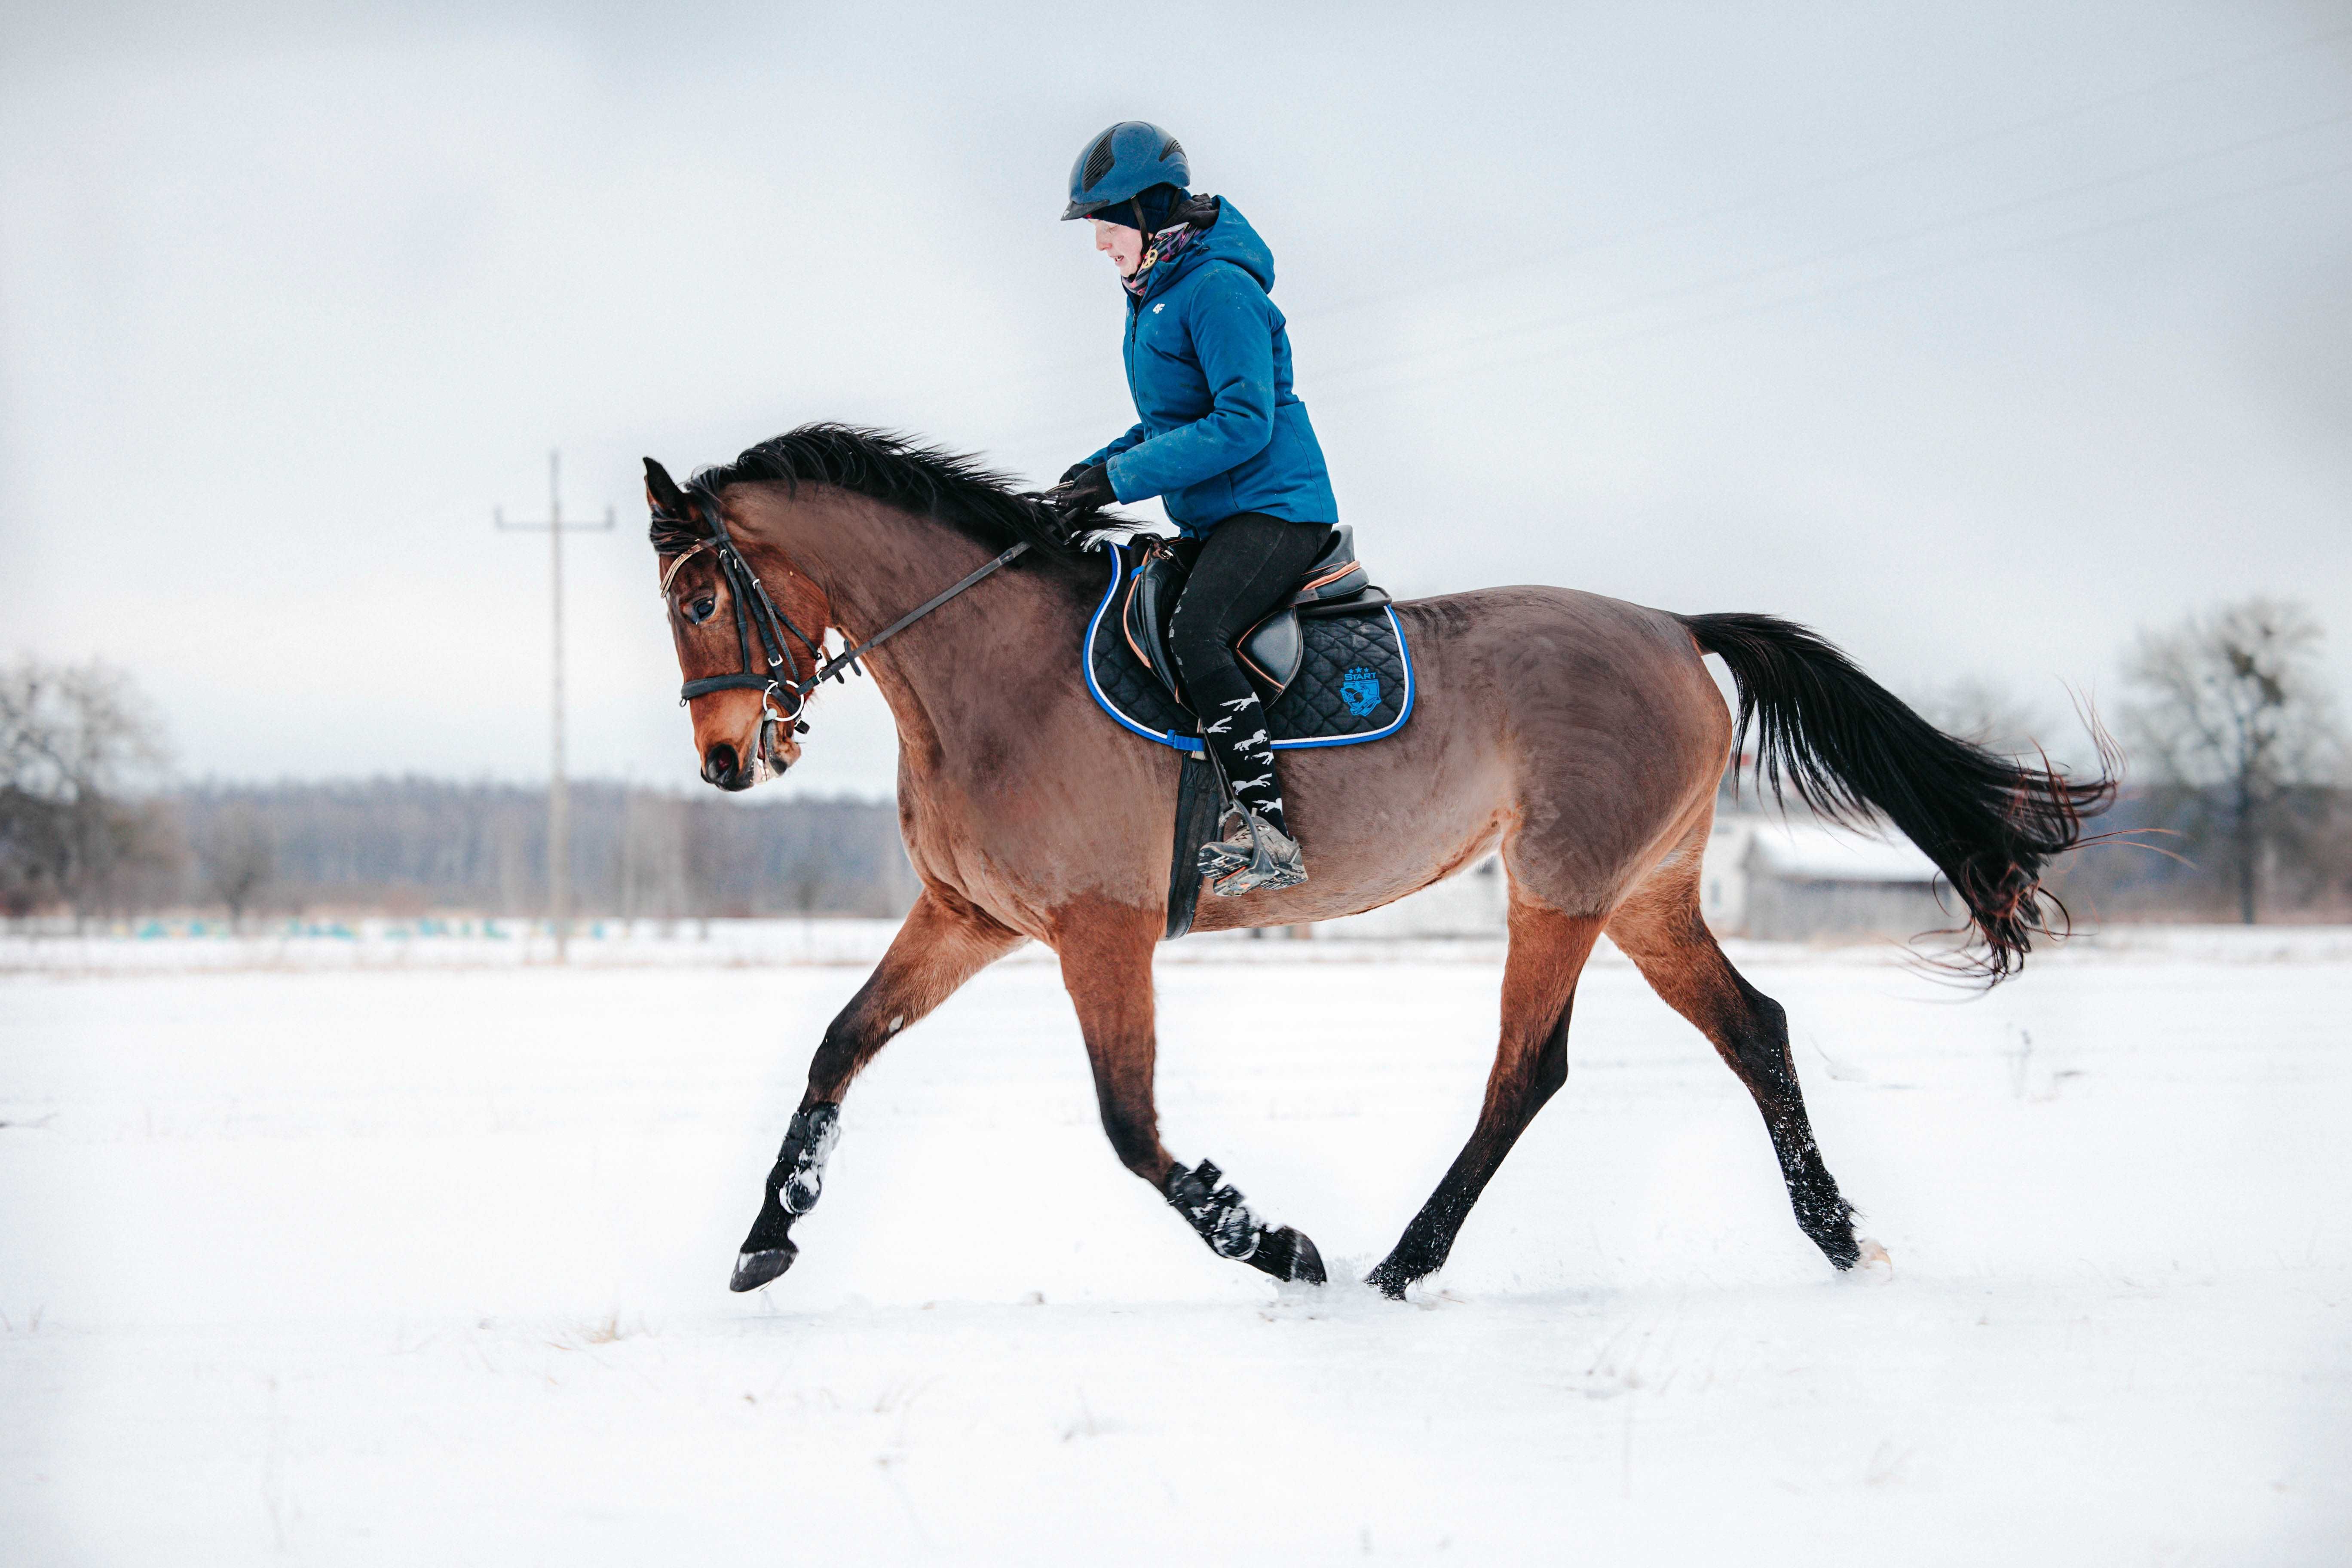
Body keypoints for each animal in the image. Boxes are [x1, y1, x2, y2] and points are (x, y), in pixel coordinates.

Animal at [644, 425, 2116, 1298]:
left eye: (702, 595)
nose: (724, 761)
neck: (992, 673)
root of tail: (1673, 624)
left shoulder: (1099, 930)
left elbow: (1131, 1126)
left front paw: (1269, 1240)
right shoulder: (966, 915)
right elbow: (841, 1042)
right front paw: (770, 1231)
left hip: (1560, 888)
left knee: (1530, 1072)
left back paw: (1404, 1259)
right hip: (1646, 894)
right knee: (1754, 1028)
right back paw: (1836, 1231)